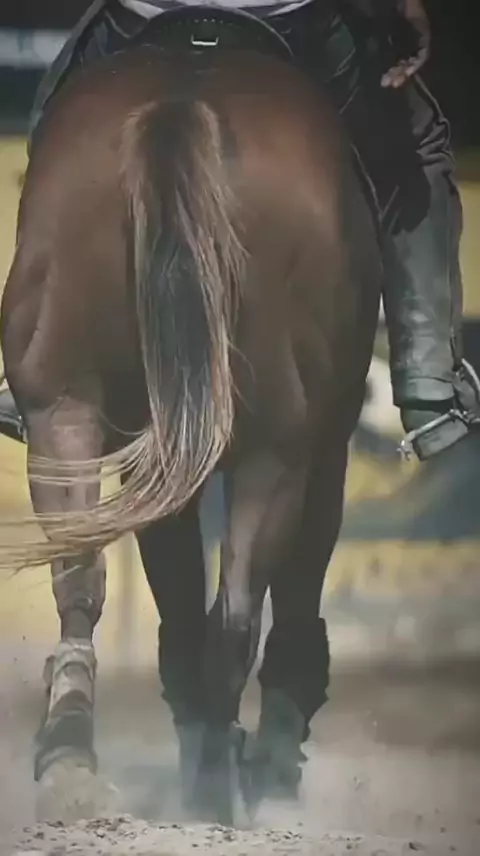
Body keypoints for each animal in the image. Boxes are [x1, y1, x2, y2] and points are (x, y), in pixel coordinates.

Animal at [0, 9, 381, 825]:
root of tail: (183, 101)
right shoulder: (323, 444)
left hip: (65, 408)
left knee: (82, 576)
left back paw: (72, 762)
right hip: (279, 445)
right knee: (237, 607)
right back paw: (216, 788)